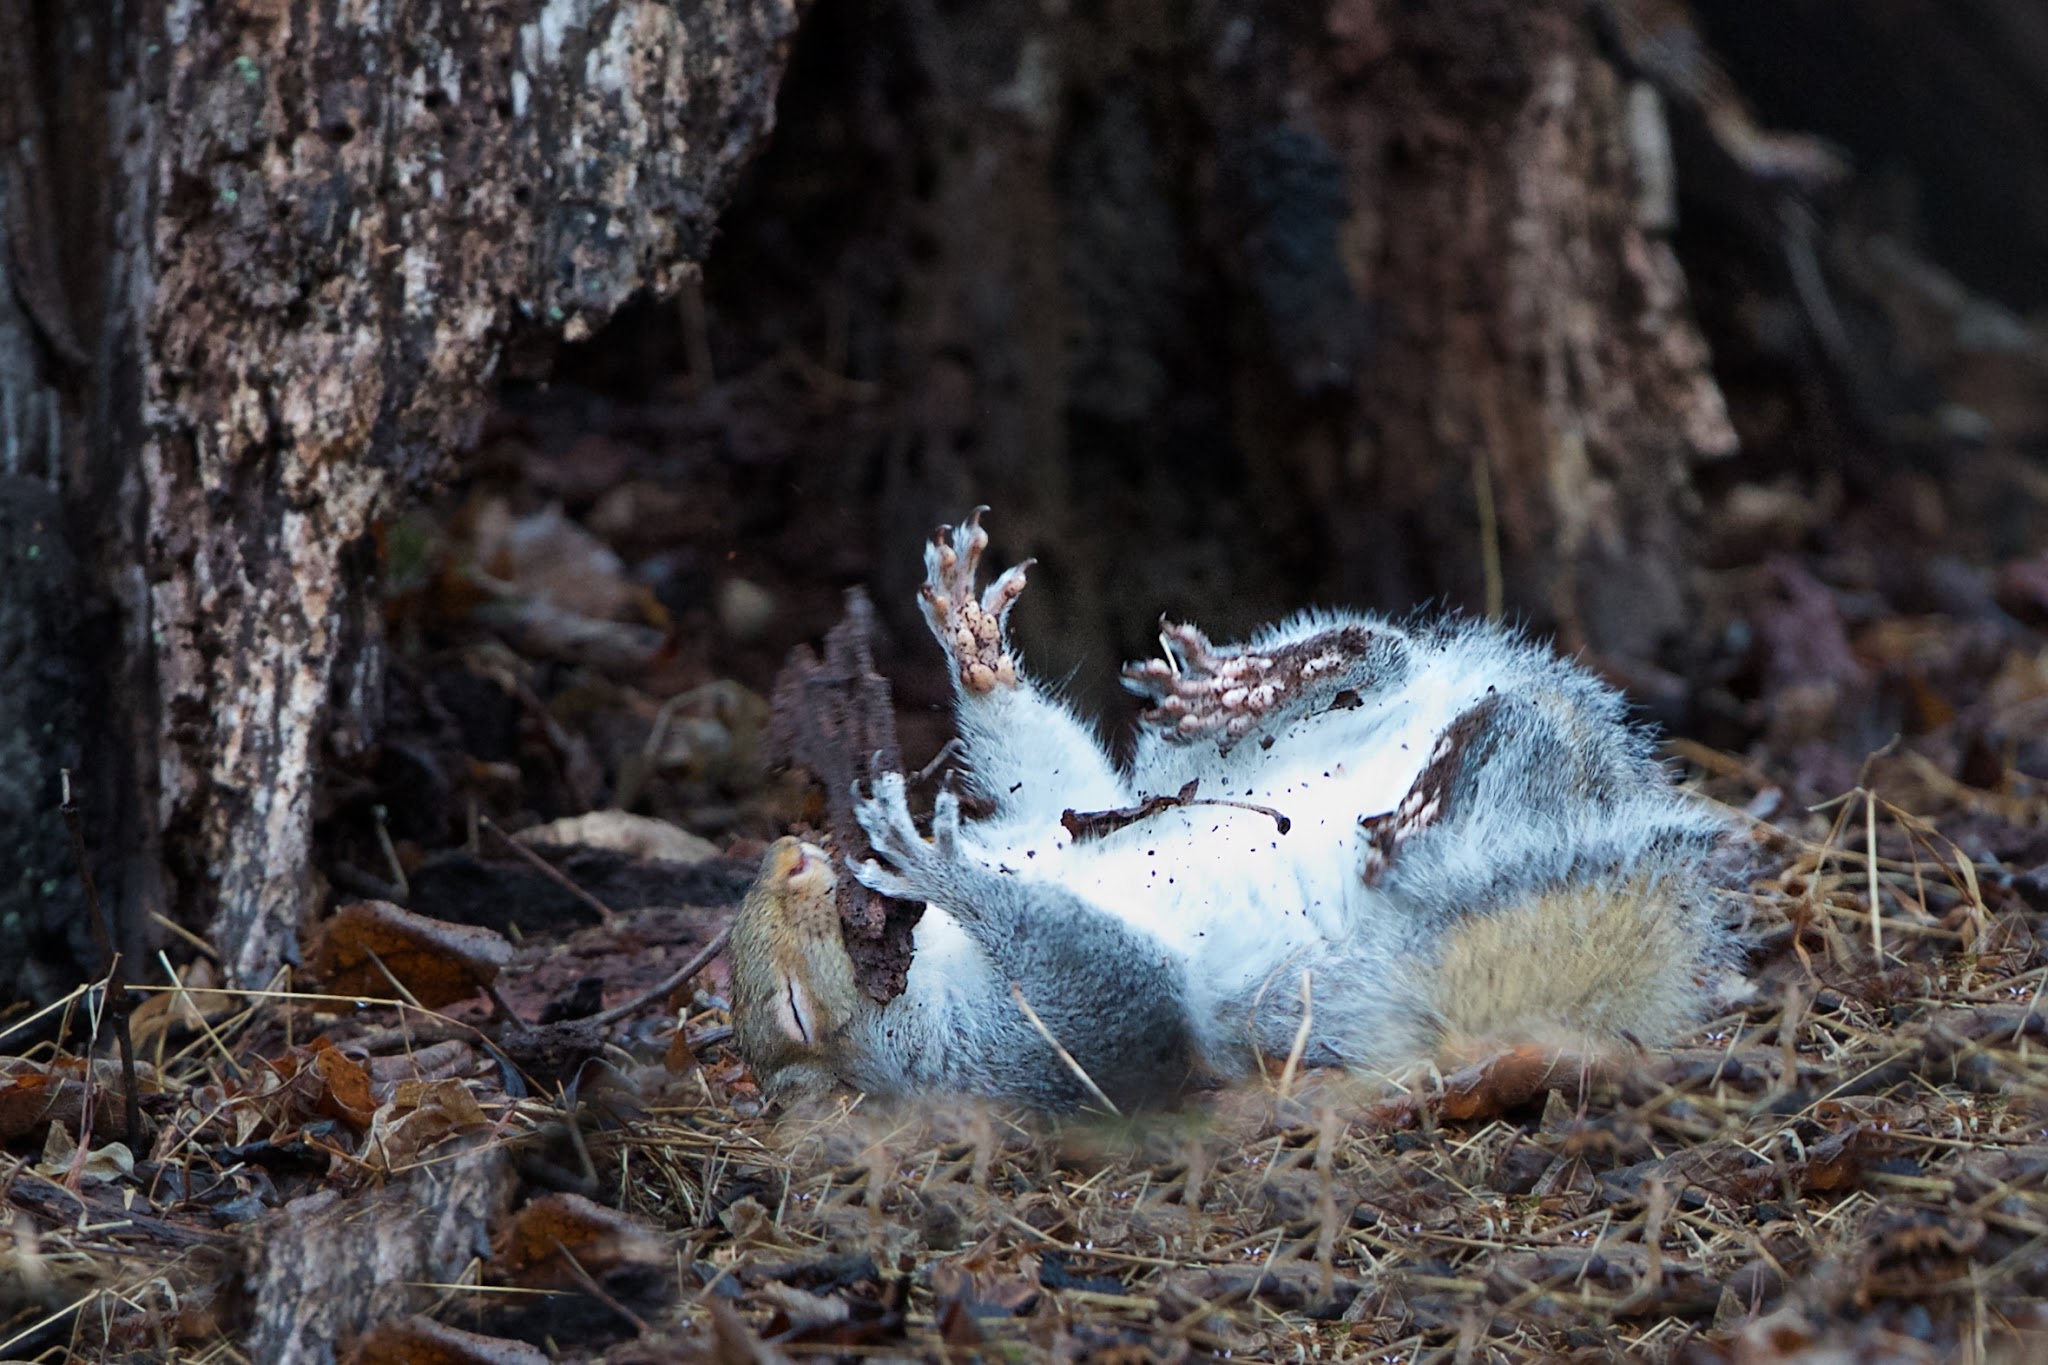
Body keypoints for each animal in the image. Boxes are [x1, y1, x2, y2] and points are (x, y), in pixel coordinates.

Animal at [729, 508, 1736, 1111]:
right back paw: (1442, 784)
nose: (788, 855)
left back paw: (1272, 678)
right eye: (795, 1014)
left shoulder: (1061, 816)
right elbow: (1118, 985)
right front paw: (939, 861)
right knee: (1511, 755)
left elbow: (1057, 774)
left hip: (1232, 749)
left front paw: (973, 647)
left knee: (1393, 652)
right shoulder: (1041, 1052)